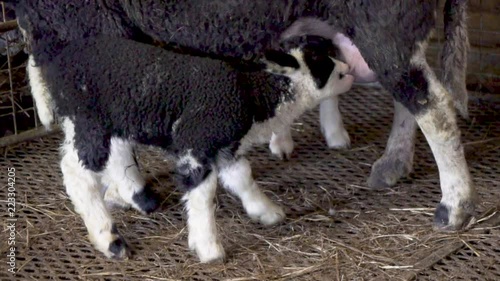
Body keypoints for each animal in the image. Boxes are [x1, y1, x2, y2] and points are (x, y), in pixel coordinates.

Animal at [41, 36, 354, 262]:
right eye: (326, 68)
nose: (350, 71)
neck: (254, 94)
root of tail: (59, 62)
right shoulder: (198, 143)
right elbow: (203, 196)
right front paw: (209, 248)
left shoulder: (225, 147)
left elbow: (242, 176)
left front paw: (266, 211)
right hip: (88, 119)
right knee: (77, 173)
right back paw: (109, 239)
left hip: (104, 120)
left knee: (111, 157)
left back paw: (134, 198)